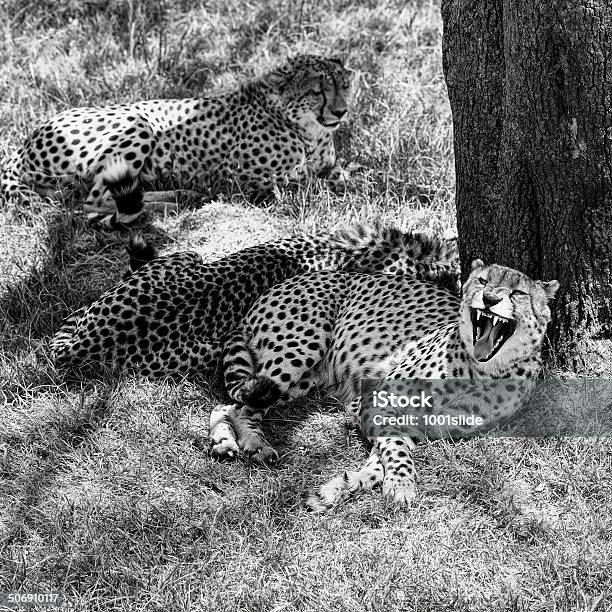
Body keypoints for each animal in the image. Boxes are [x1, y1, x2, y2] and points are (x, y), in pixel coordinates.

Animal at [0, 54, 352, 227]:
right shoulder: (242, 181)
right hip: (136, 122)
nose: (341, 111)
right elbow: (303, 184)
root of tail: (22, 146)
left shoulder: (326, 163)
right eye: (317, 91)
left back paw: (182, 195)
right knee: (93, 202)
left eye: (344, 86)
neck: (306, 128)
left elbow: (342, 175)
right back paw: (170, 205)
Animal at [212, 260, 560, 504]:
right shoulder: (372, 401)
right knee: (239, 402)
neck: (481, 371)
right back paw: (254, 443)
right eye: (483, 281)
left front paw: (343, 486)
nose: (488, 299)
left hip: (304, 378)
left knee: (231, 403)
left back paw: (226, 441)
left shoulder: (419, 425)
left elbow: (381, 457)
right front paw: (401, 484)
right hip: (301, 349)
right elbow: (394, 447)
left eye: (518, 293)